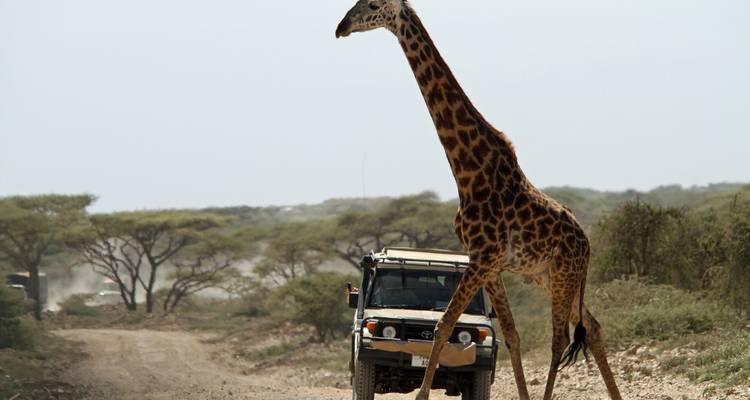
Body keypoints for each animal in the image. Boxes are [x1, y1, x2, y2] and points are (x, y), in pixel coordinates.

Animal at [335, 1, 623, 400]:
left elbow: (443, 325)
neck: (469, 170)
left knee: (559, 339)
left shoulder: (483, 257)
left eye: (373, 6)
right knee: (592, 327)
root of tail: (588, 243)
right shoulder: (489, 263)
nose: (341, 27)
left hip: (564, 274)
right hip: (547, 275)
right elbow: (512, 334)